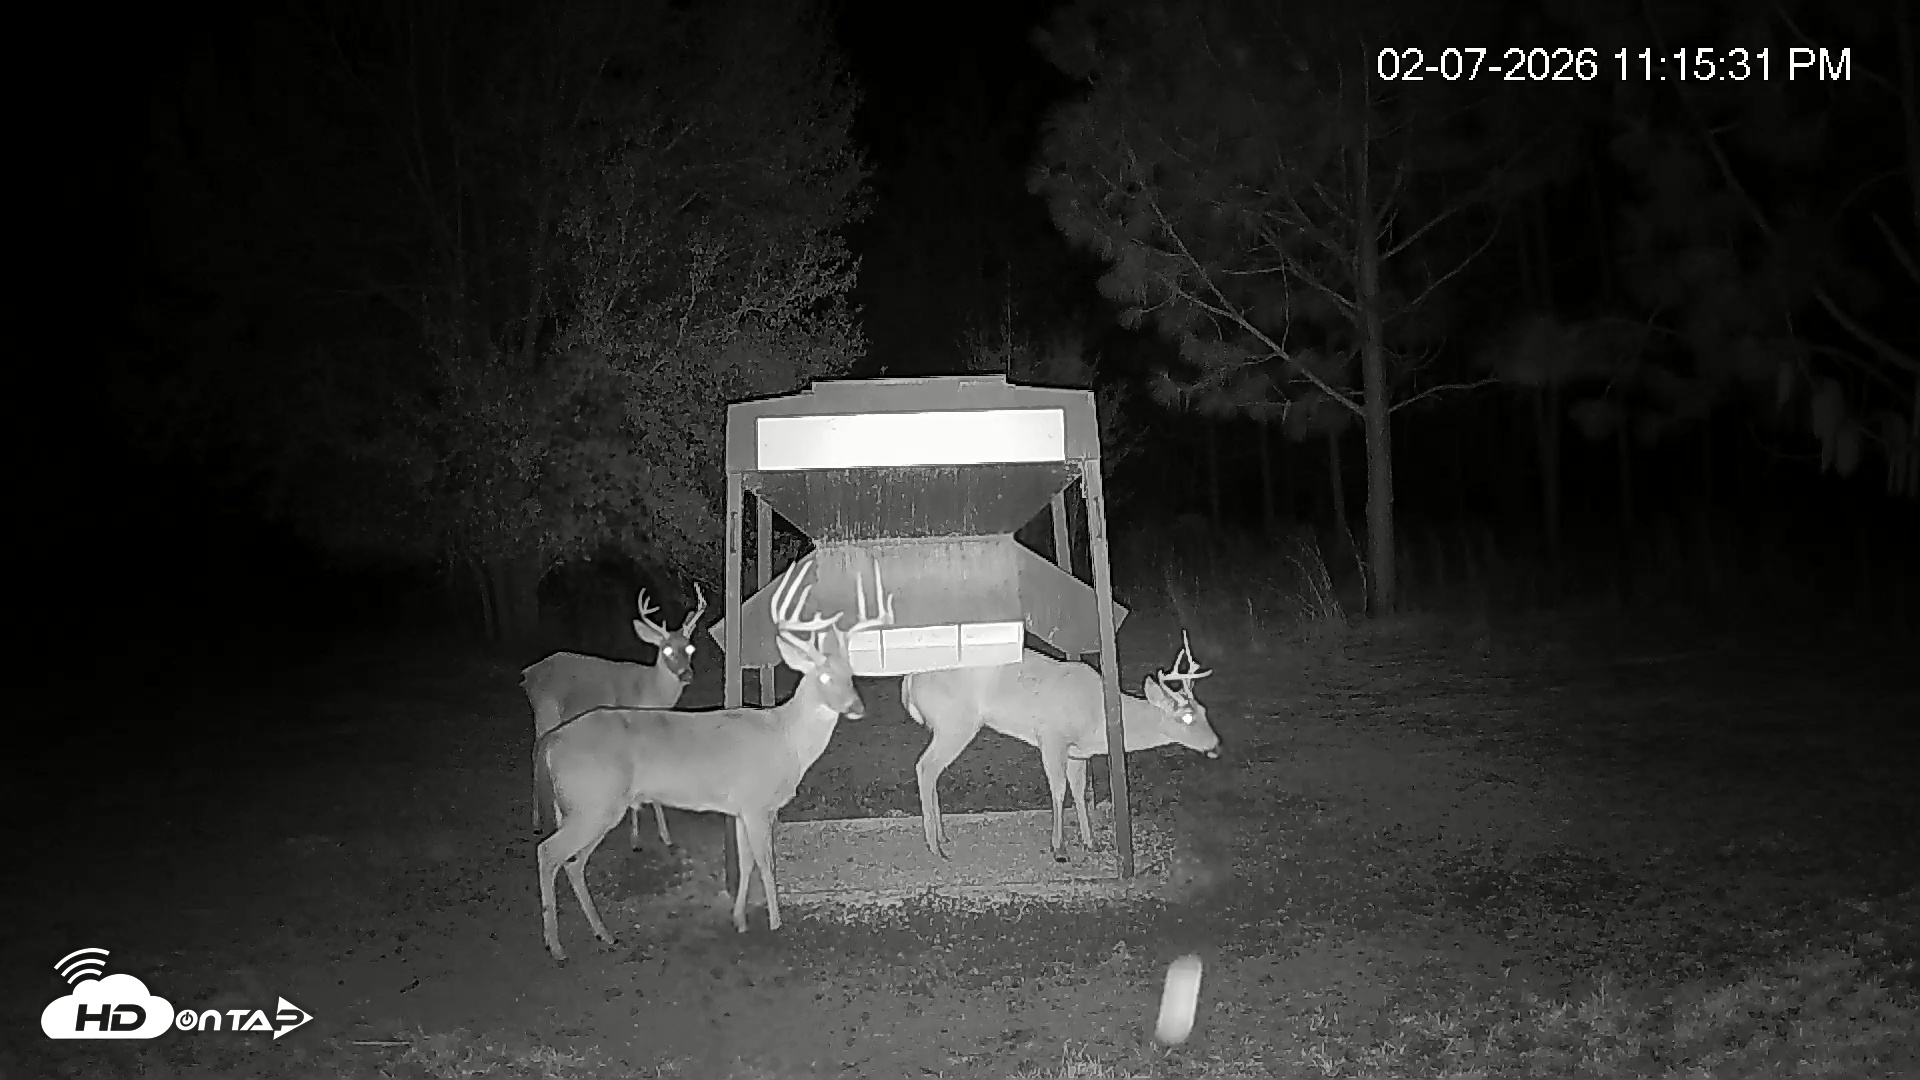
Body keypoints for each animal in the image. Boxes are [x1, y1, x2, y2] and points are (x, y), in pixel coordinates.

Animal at [520, 583, 708, 849]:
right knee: (535, 751)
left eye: (690, 648)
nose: (686, 675)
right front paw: (637, 838)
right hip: (546, 710)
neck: (649, 692)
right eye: (667, 649)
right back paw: (539, 822)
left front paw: (663, 836)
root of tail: (528, 673)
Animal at [901, 632, 1221, 860]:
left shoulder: (1077, 752)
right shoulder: (1052, 737)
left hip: (949, 726)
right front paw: (1059, 848)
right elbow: (1058, 790)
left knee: (931, 771)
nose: (1217, 745)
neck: (1097, 718)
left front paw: (1090, 841)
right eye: (1187, 717)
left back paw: (942, 837)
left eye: (1205, 711)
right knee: (925, 767)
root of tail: (909, 680)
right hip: (955, 722)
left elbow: (1078, 791)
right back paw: (936, 847)